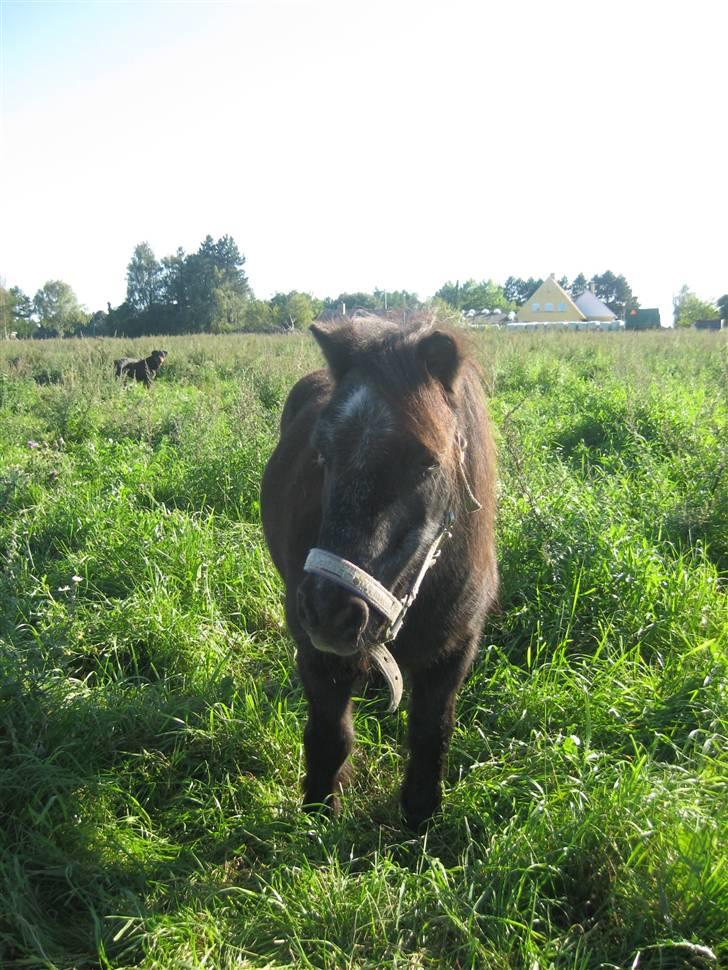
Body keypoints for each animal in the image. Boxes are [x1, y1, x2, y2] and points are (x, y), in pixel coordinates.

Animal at [258, 318, 498, 824]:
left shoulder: (455, 652)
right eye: (322, 454)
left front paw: (420, 816)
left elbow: (431, 734)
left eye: (427, 462)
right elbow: (330, 735)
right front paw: (318, 812)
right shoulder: (316, 653)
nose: (329, 613)